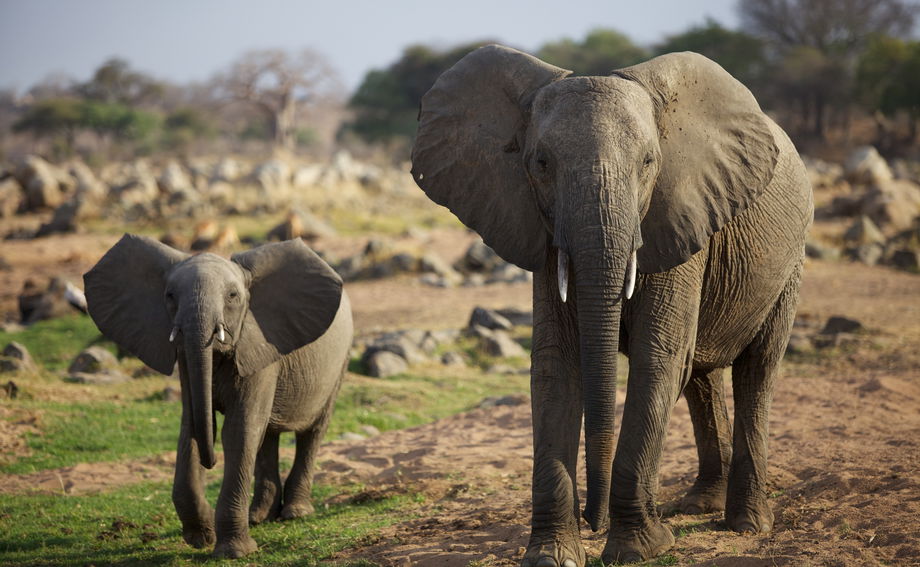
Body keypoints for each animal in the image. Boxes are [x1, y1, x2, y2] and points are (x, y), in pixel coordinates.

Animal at [83, 236, 352, 560]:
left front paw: (234, 552)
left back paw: (295, 513)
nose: (210, 463)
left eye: (233, 296)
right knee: (267, 435)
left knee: (312, 431)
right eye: (170, 295)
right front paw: (201, 538)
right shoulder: (187, 360)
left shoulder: (259, 342)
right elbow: (194, 423)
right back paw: (260, 517)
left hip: (339, 363)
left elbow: (238, 429)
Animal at [412, 46, 812, 564]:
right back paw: (697, 505)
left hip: (791, 260)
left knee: (757, 369)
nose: (593, 518)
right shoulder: (542, 228)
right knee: (700, 376)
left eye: (648, 162)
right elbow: (556, 364)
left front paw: (638, 549)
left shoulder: (679, 211)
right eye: (541, 162)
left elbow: (656, 358)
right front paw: (553, 555)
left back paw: (746, 524)